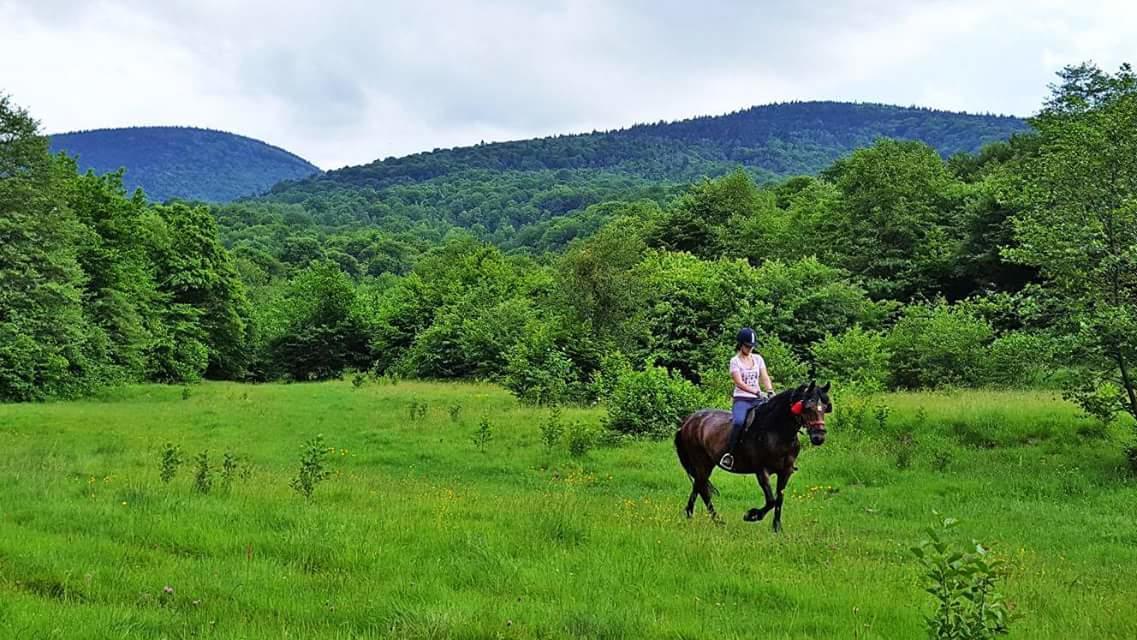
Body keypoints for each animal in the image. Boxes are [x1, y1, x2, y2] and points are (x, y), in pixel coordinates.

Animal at [668, 384, 832, 534]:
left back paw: (690, 514)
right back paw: (717, 520)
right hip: (701, 461)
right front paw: (751, 515)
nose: (819, 437)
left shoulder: (785, 472)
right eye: (808, 407)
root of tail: (688, 421)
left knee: (698, 485)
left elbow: (779, 499)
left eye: (824, 408)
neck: (776, 431)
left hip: (707, 463)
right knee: (703, 489)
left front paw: (777, 528)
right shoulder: (762, 471)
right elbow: (771, 500)